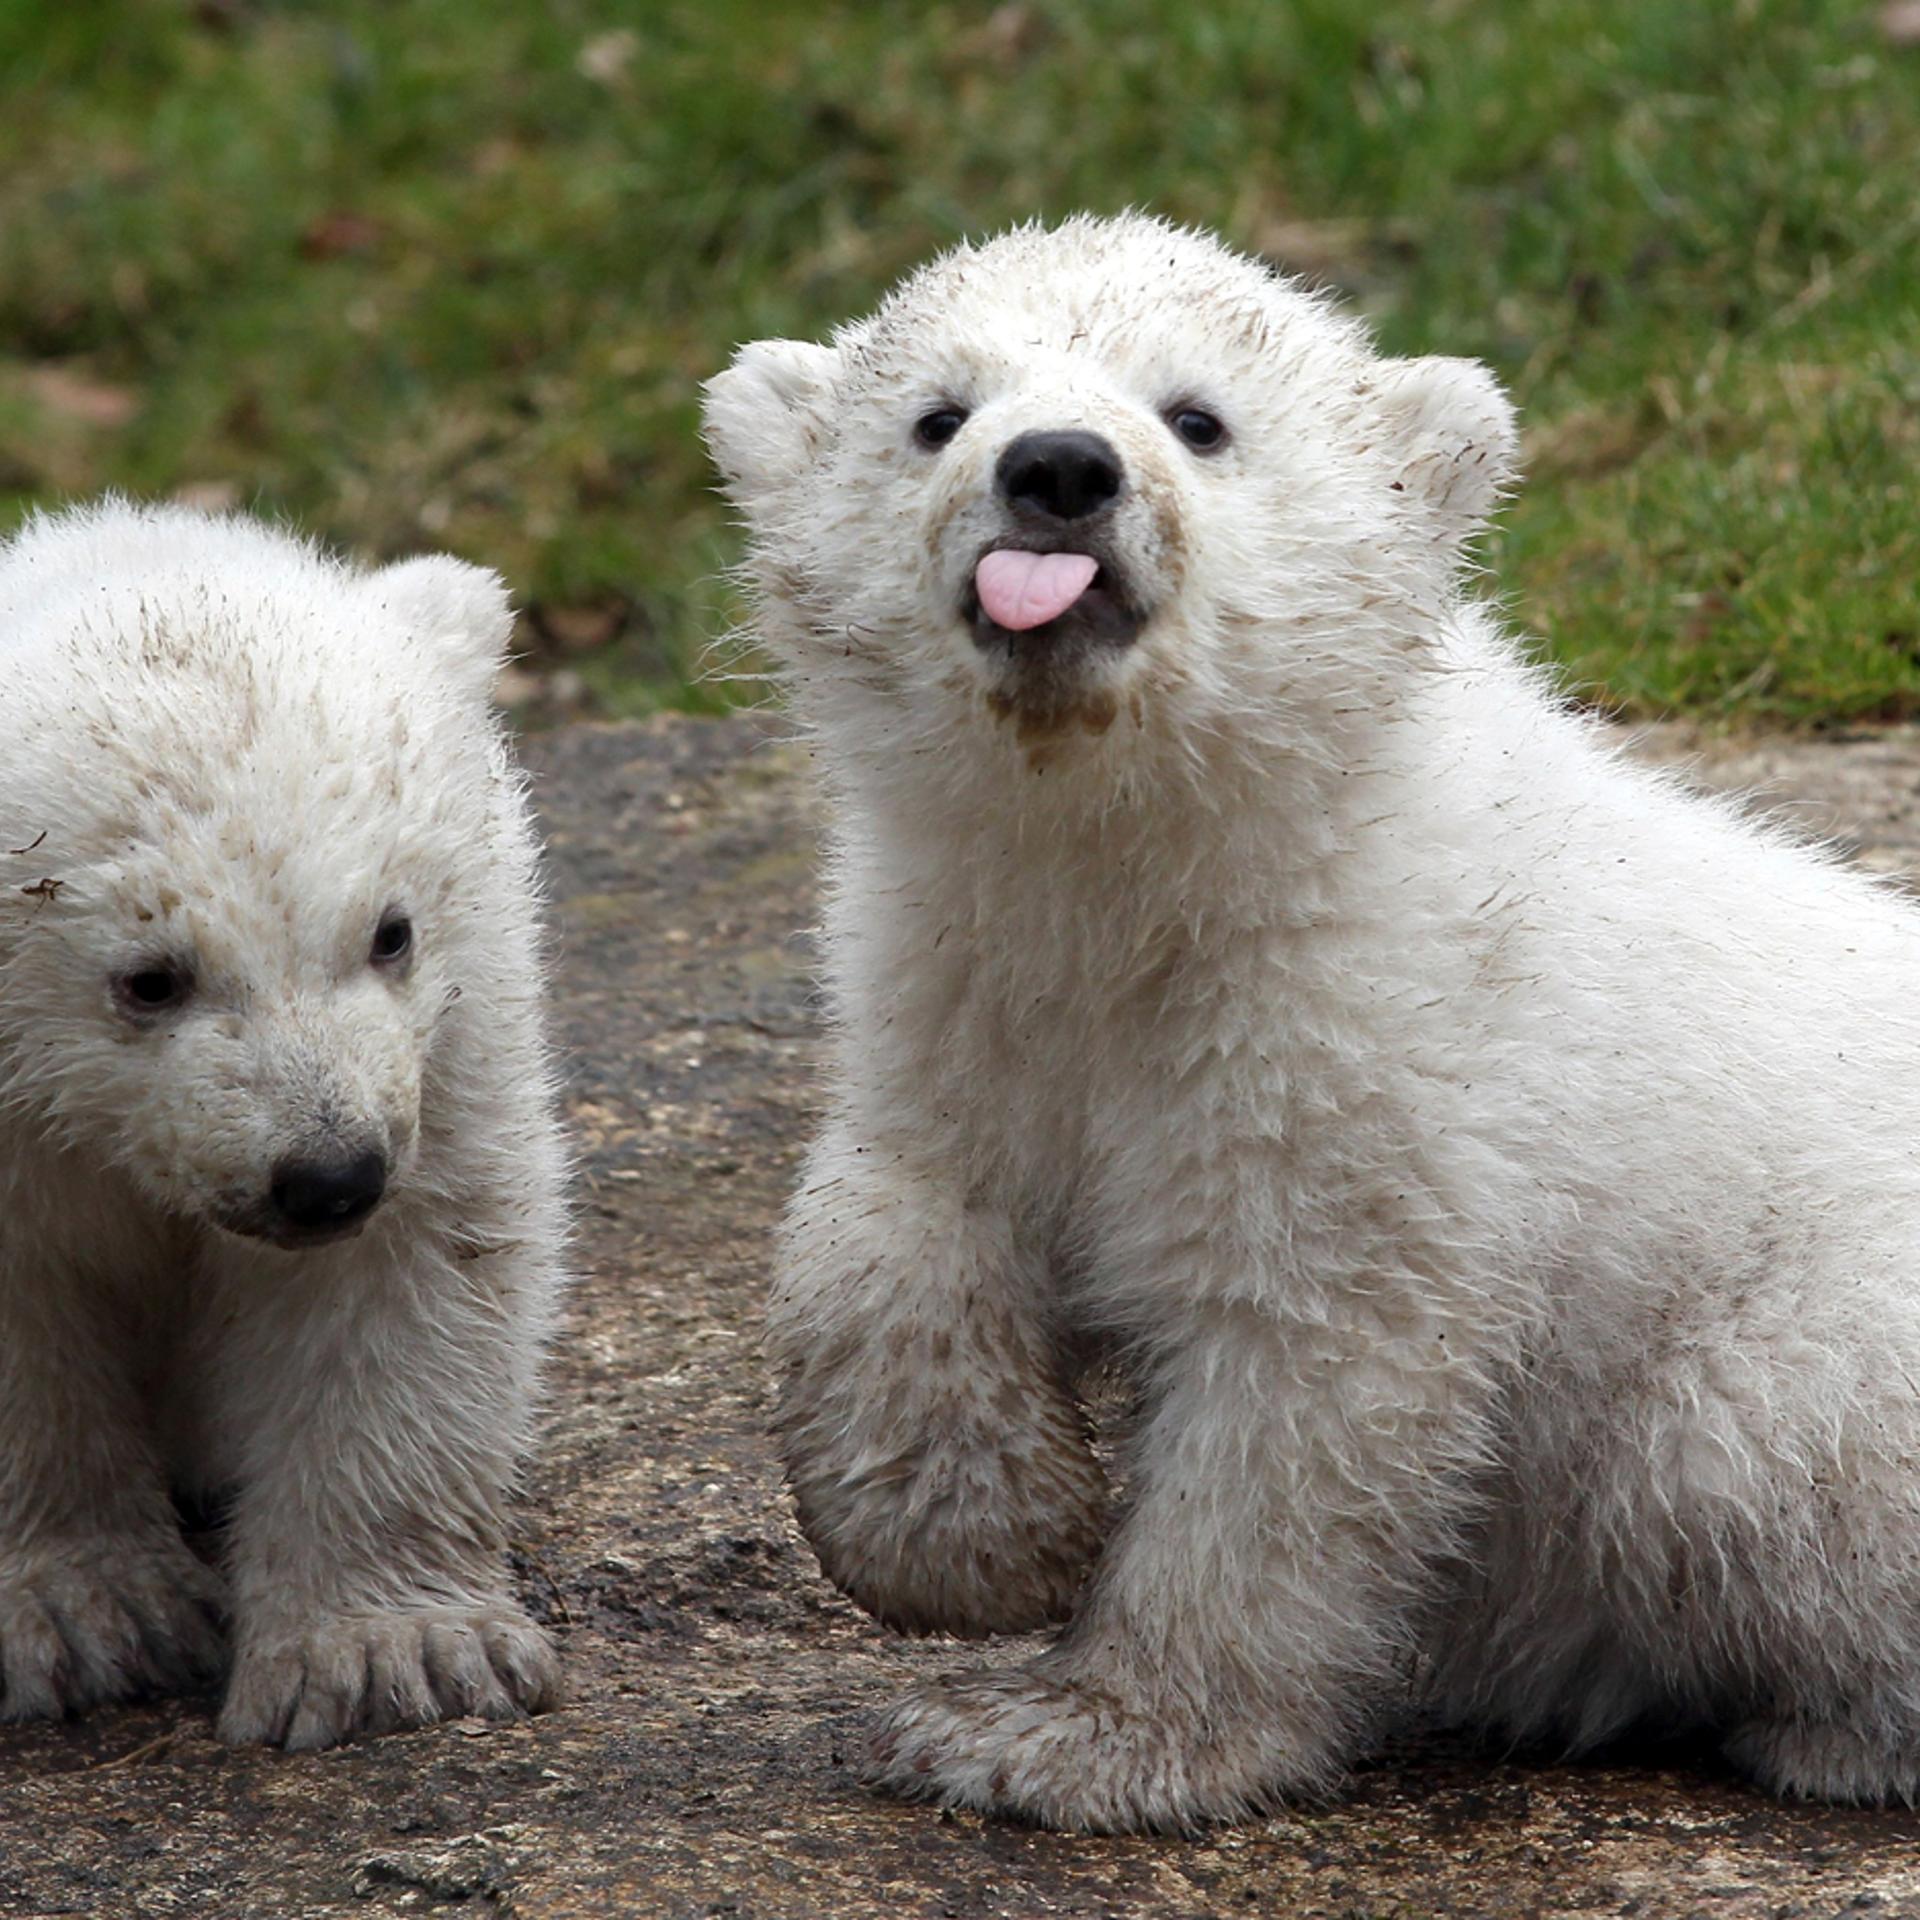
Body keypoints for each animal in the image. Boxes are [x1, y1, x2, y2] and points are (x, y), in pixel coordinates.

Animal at [0, 500, 566, 1748]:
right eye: (150, 978)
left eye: (392, 931)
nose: (328, 1175)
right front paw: (85, 1616)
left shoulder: (449, 1050)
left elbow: (405, 1283)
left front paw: (393, 1654)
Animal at [704, 212, 1920, 1832]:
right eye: (939, 415)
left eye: (1198, 417)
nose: (1059, 469)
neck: (1171, 867)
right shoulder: (950, 964)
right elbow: (898, 1196)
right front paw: (978, 1543)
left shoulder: (1377, 1054)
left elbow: (1304, 1391)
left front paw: (1070, 1736)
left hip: (1821, 1345)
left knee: (1729, 1451)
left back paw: (1832, 1729)